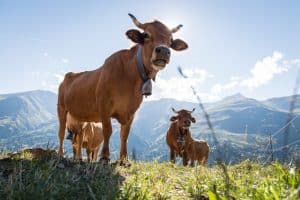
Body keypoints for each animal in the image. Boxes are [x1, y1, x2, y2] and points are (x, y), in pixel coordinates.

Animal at [57, 13, 189, 162]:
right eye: (146, 35)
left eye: (171, 41)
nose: (164, 51)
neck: (130, 79)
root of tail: (69, 75)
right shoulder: (104, 106)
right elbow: (108, 131)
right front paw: (105, 157)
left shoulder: (131, 111)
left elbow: (125, 135)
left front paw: (124, 160)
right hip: (61, 107)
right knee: (61, 132)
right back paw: (60, 154)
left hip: (78, 115)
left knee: (78, 137)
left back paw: (78, 158)